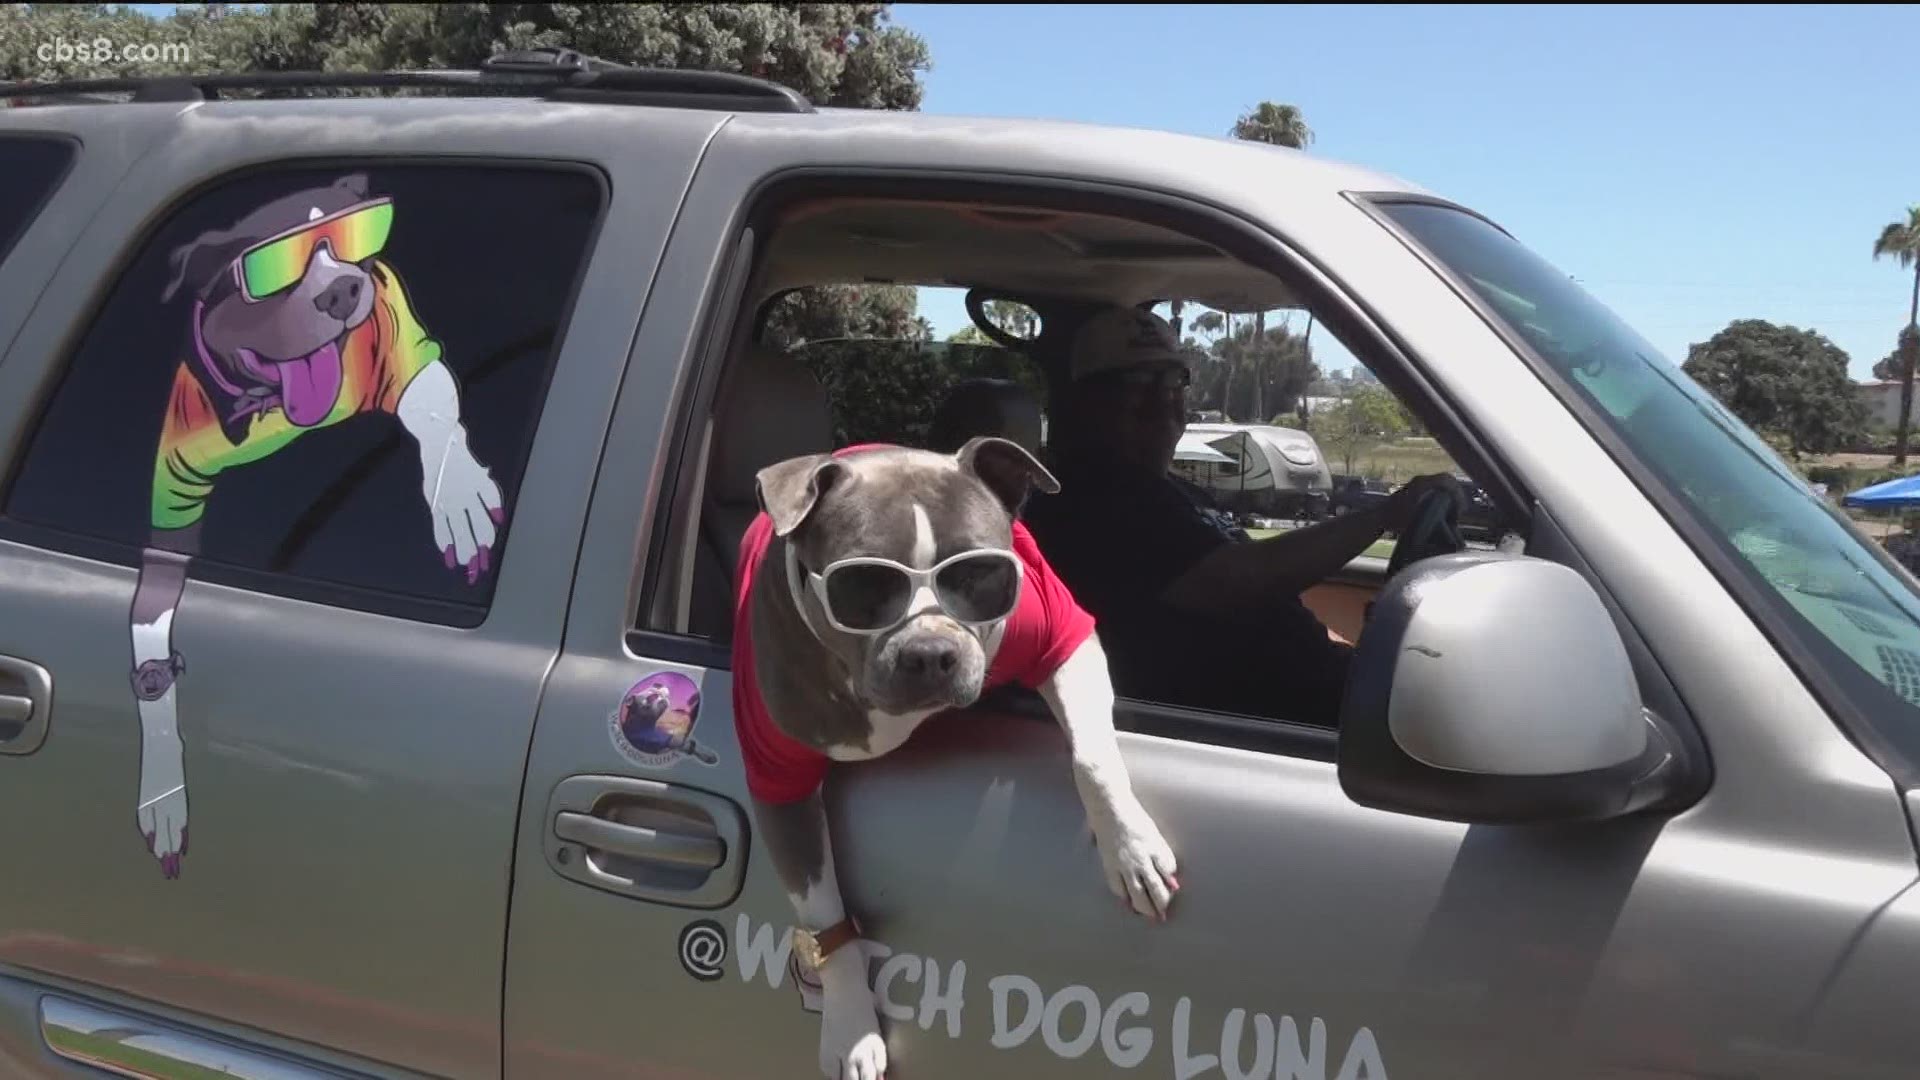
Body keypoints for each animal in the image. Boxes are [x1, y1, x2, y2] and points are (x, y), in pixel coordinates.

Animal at [123, 170, 506, 876]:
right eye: (268, 268)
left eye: (350, 237)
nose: (344, 288)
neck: (270, 405)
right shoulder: (172, 508)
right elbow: (153, 660)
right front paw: (162, 797)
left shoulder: (405, 344)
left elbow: (430, 406)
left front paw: (459, 498)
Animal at [733, 432, 1182, 1068]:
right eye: (864, 585)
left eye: (978, 576)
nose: (929, 653)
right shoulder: (780, 787)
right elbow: (828, 923)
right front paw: (851, 1030)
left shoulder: (1061, 635)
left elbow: (1092, 757)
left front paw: (1131, 848)